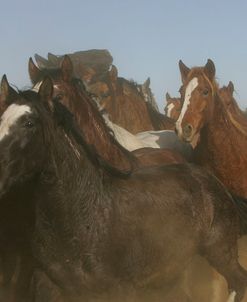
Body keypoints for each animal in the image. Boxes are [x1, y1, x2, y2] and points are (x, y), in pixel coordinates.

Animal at [0, 76, 247, 302]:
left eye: (29, 123)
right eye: (2, 119)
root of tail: (213, 182)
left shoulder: (120, 288)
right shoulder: (47, 283)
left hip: (220, 253)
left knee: (238, 281)